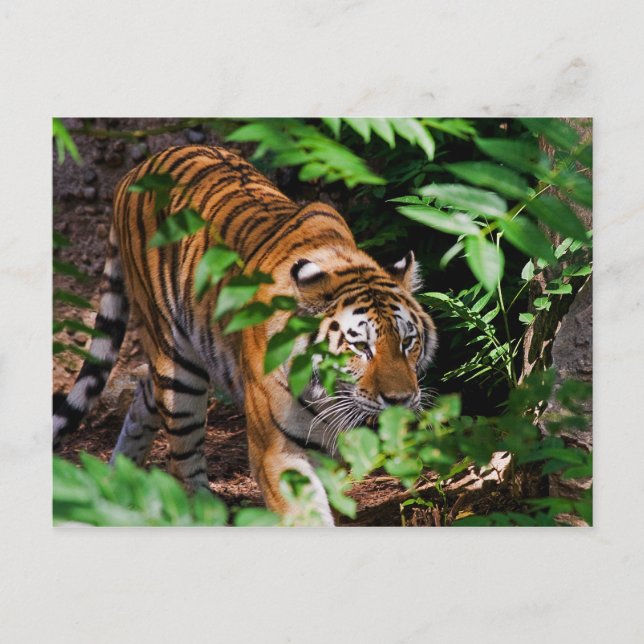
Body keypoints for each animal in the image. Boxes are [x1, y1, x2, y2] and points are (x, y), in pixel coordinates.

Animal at [53, 145, 437, 526]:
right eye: (360, 346)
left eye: (407, 342)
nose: (401, 400)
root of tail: (135, 172)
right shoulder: (276, 450)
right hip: (177, 364)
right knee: (181, 458)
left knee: (145, 392)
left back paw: (116, 482)